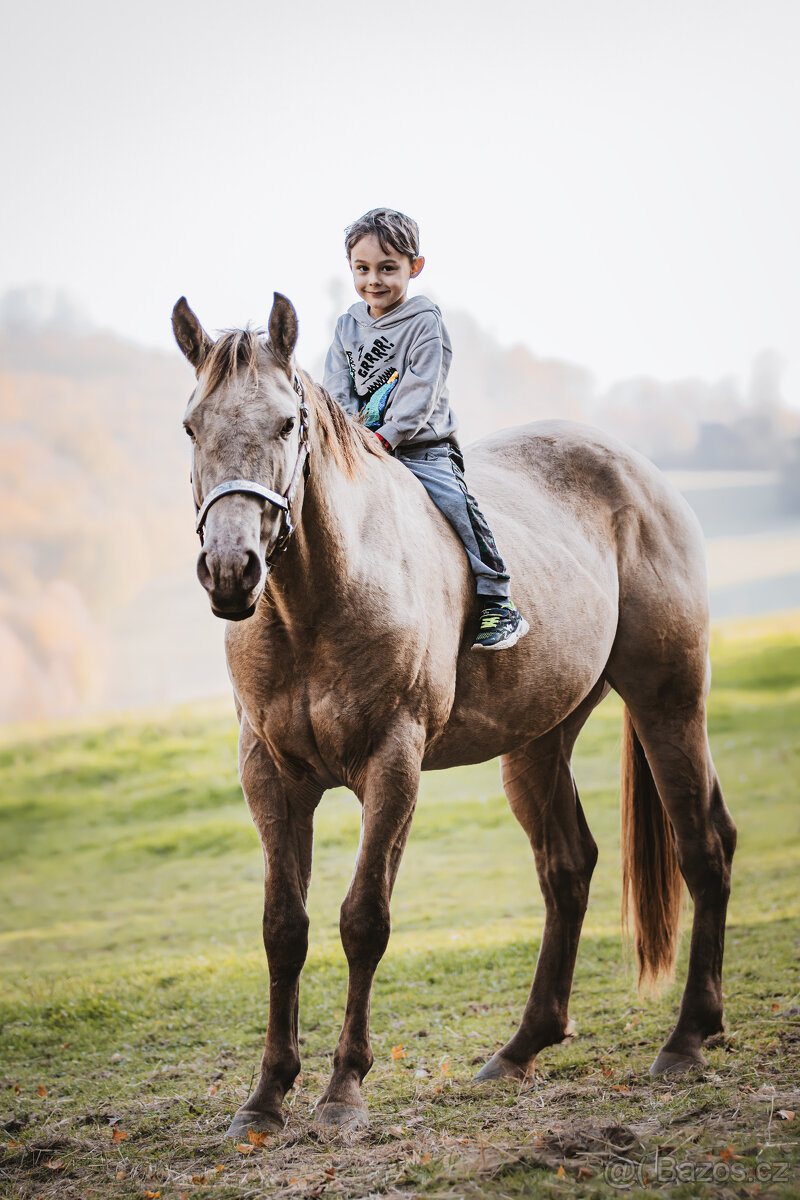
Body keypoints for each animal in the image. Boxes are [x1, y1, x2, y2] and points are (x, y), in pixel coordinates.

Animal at [173, 290, 738, 1132]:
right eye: (192, 426)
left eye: (285, 424)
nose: (231, 569)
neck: (319, 604)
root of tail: (638, 473)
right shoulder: (270, 776)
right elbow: (283, 928)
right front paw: (267, 1096)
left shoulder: (393, 766)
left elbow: (363, 919)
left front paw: (343, 1092)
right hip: (538, 742)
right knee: (568, 867)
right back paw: (521, 1049)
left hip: (669, 699)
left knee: (702, 847)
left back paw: (688, 1038)